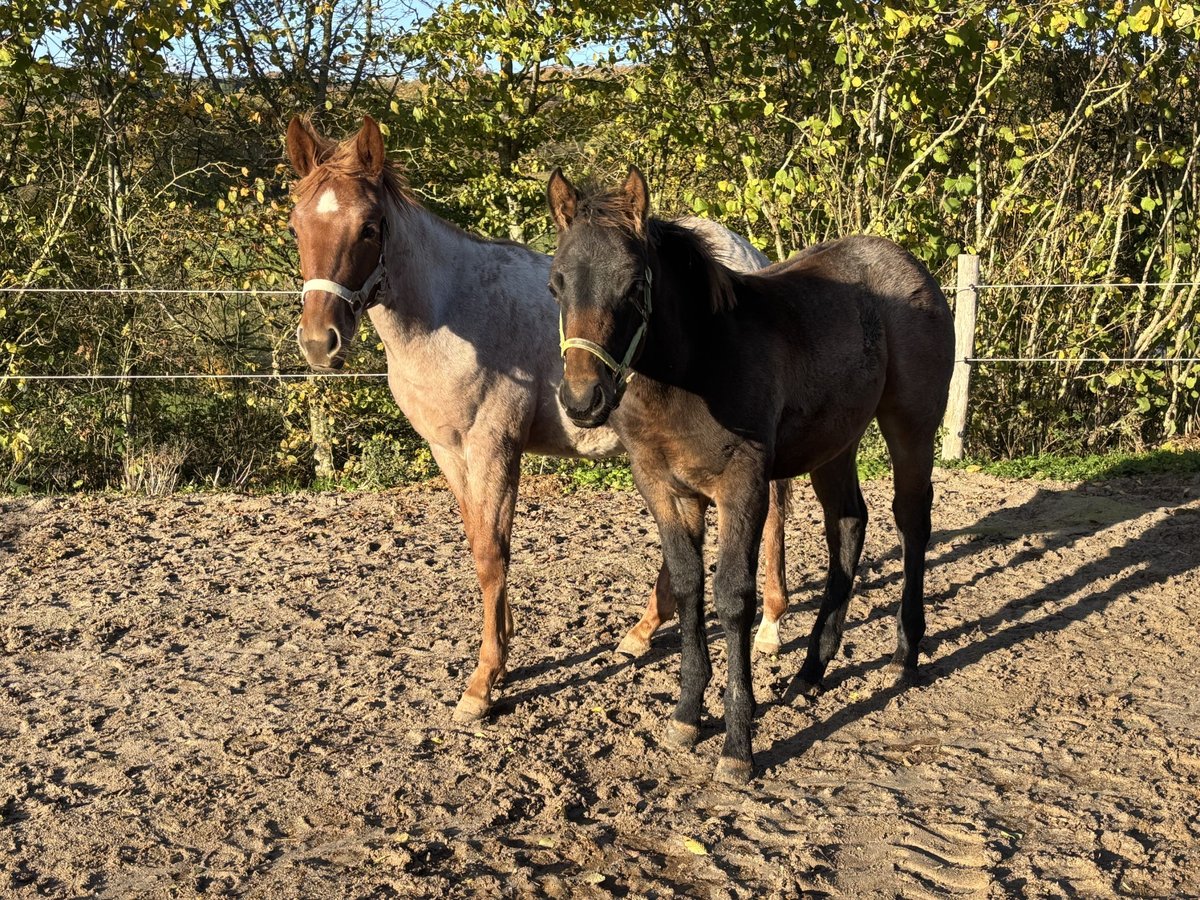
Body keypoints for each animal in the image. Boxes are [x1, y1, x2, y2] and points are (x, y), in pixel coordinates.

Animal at [283, 115, 793, 723]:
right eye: (296, 223)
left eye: (368, 227)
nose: (320, 341)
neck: (451, 316)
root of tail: (748, 258)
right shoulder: (449, 452)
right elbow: (480, 544)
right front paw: (500, 651)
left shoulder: (493, 448)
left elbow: (492, 554)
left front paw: (483, 682)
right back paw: (643, 631)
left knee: (771, 514)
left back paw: (768, 626)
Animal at [546, 167, 954, 782]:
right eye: (557, 283)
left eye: (635, 283)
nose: (582, 400)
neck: (696, 367)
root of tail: (913, 267)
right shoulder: (665, 489)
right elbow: (688, 587)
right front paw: (686, 717)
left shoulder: (742, 486)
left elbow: (734, 596)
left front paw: (738, 743)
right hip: (834, 441)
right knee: (848, 524)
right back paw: (810, 672)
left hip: (910, 427)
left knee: (911, 522)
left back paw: (906, 654)